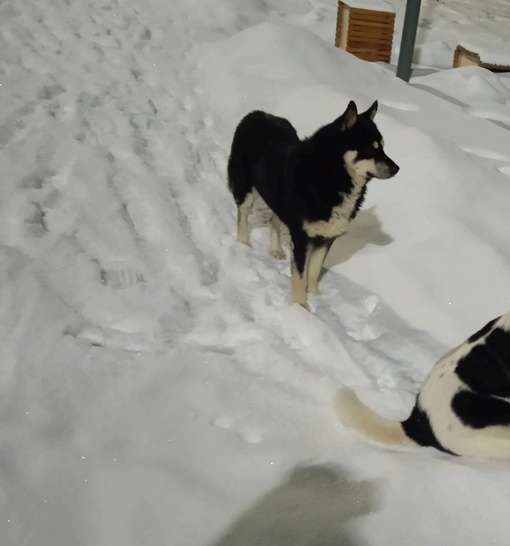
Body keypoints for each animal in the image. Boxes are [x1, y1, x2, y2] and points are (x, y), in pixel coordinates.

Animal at [227, 100, 398, 308]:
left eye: (382, 147)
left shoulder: (327, 237)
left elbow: (314, 271)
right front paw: (301, 307)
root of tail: (256, 113)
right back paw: (243, 244)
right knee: (242, 214)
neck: (332, 177)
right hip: (245, 188)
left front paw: (317, 297)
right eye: (370, 149)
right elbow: (300, 277)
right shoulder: (302, 238)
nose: (397, 168)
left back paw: (275, 249)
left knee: (274, 220)